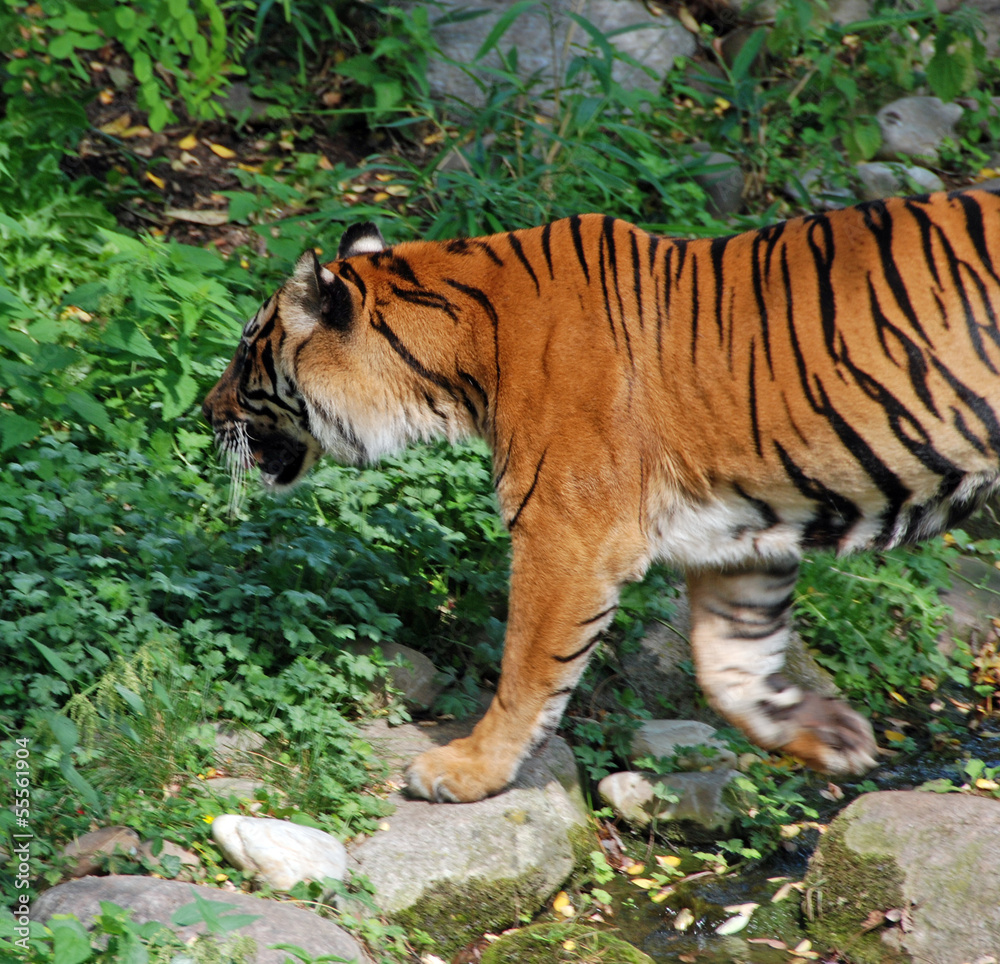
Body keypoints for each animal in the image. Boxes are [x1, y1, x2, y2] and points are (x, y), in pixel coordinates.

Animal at [203, 186, 1000, 803]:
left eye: (245, 353)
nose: (203, 415)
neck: (461, 358)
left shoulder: (568, 534)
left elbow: (528, 665)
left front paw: (468, 770)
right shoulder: (741, 533)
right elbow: (732, 667)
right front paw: (829, 733)